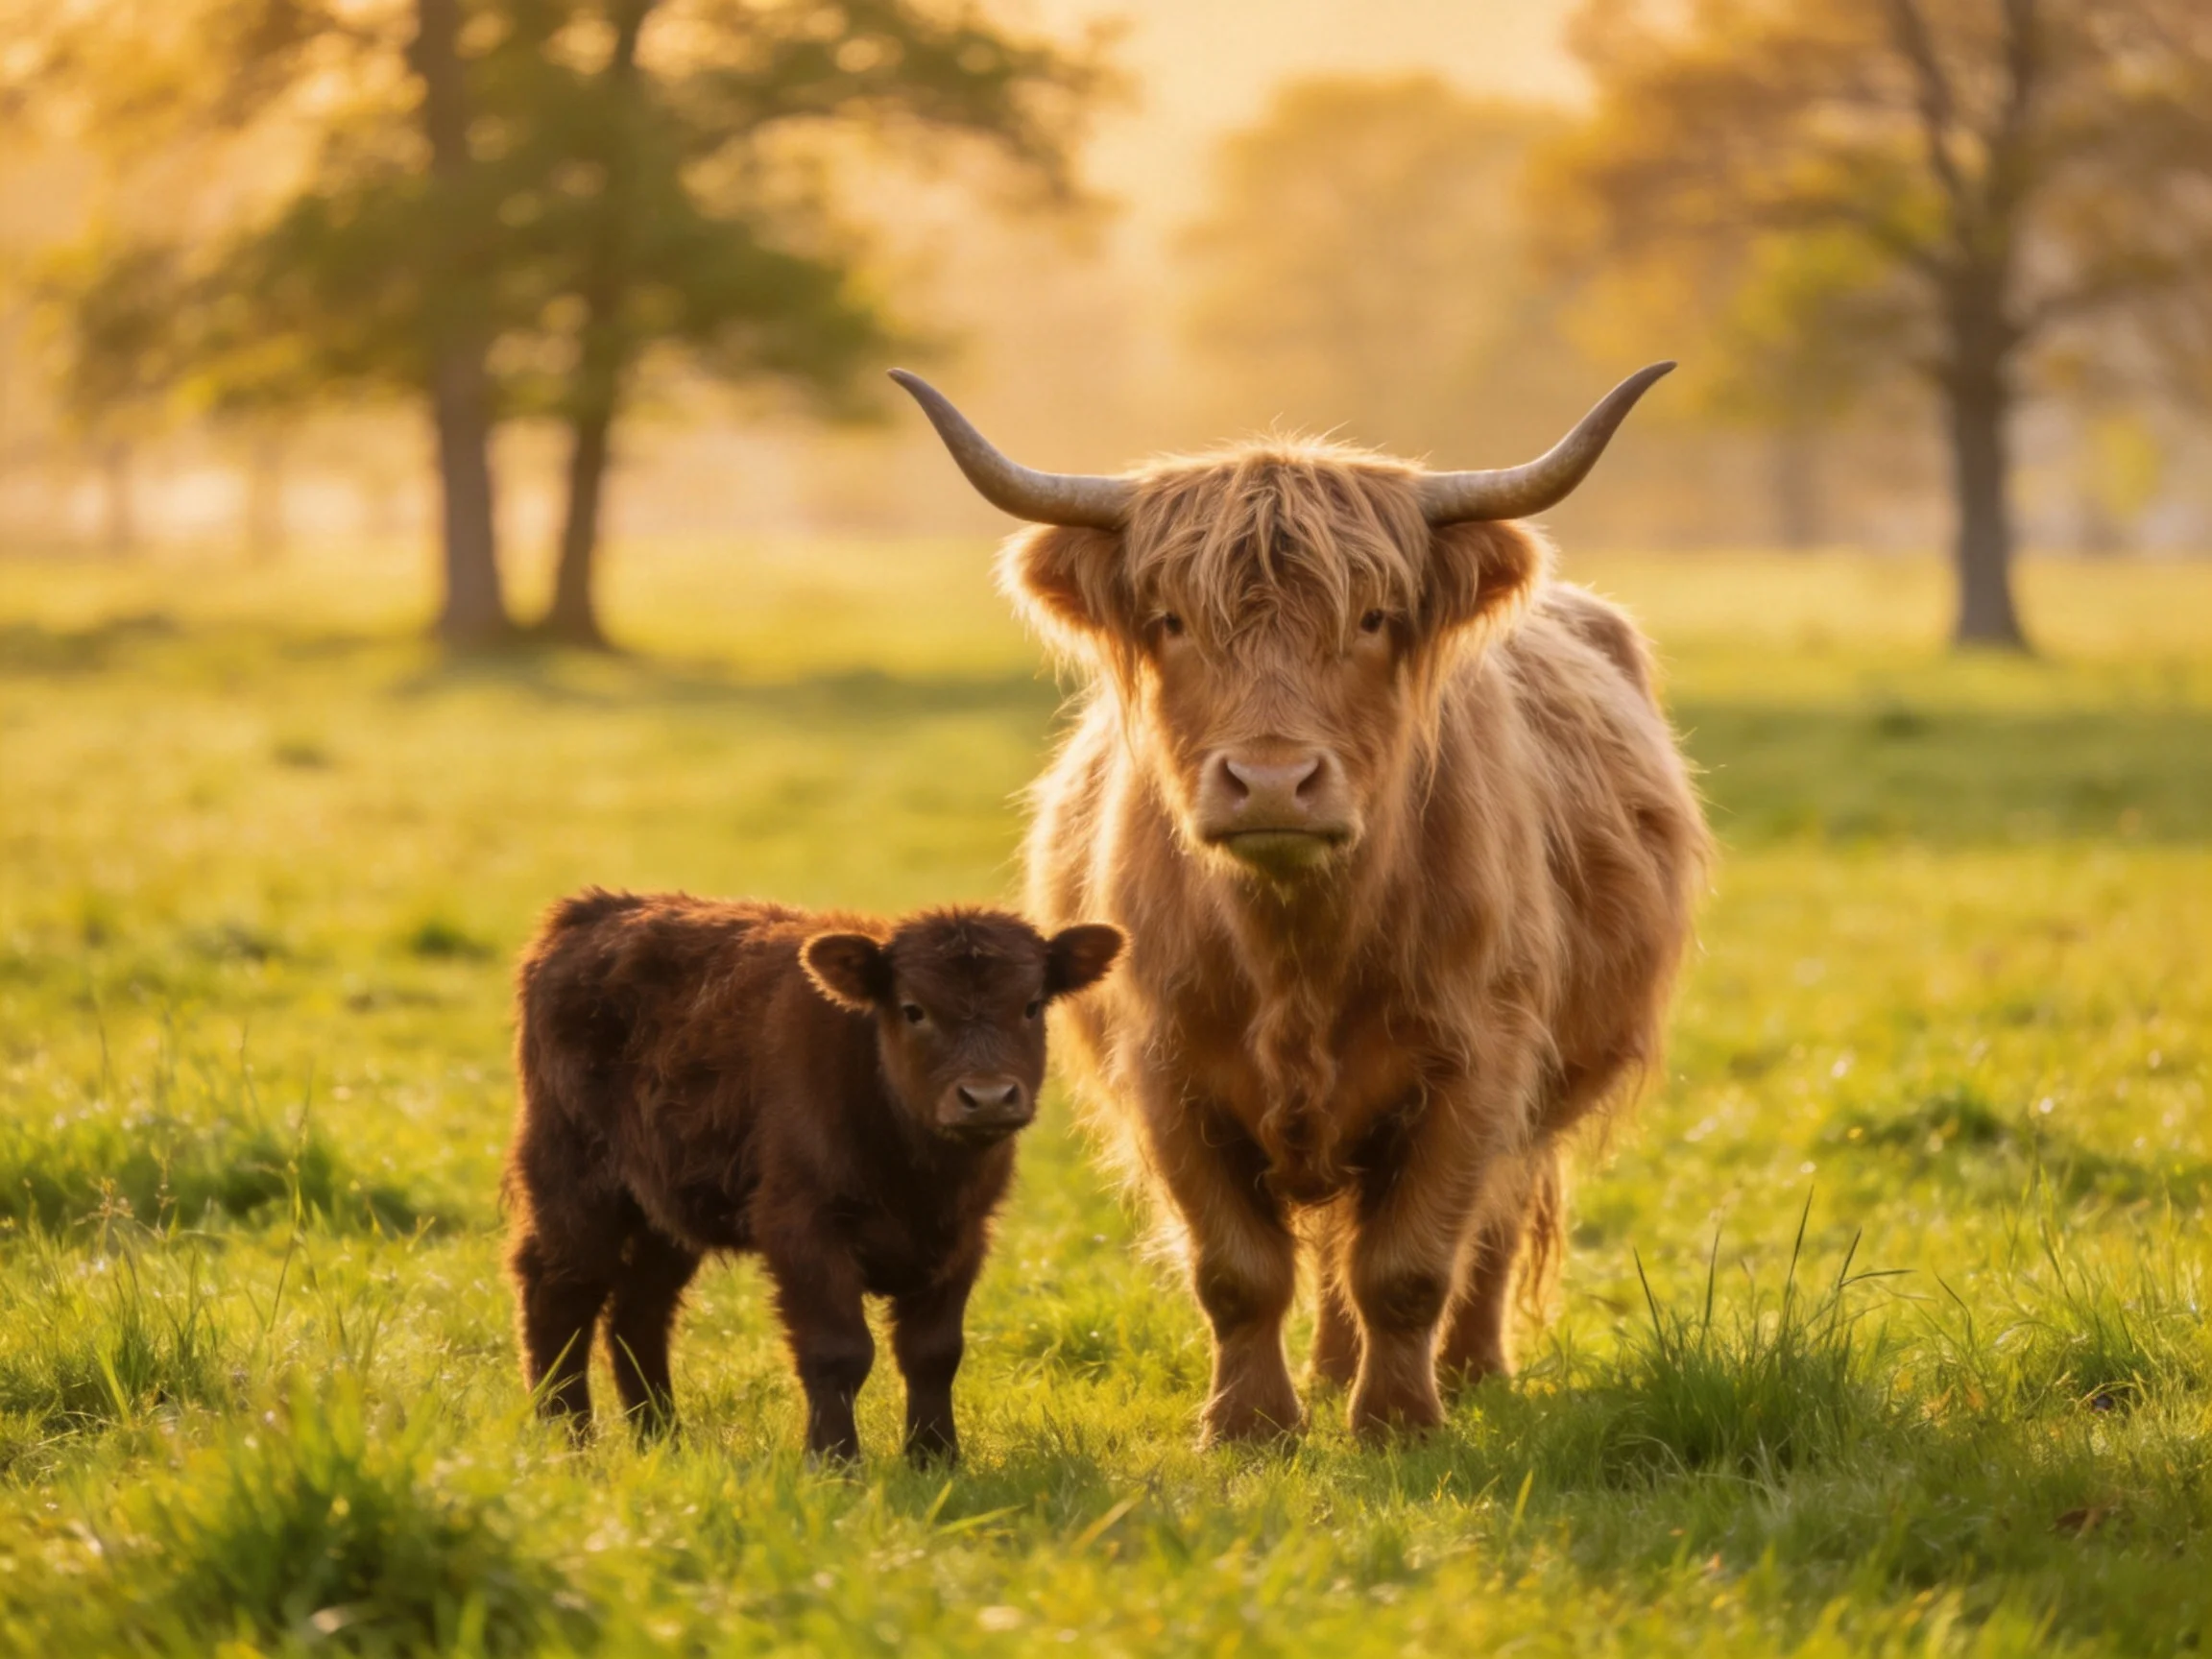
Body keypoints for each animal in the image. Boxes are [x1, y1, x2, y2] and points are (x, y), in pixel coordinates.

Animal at [505, 889, 1123, 1462]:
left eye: (1032, 1005)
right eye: (913, 1009)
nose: (988, 1097)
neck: (917, 1176)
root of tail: (595, 912)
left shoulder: (964, 1235)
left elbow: (934, 1351)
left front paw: (935, 1458)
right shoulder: (802, 1226)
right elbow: (838, 1350)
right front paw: (834, 1461)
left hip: (665, 1210)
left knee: (639, 1313)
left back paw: (662, 1440)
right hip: (574, 1186)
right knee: (559, 1295)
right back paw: (567, 1439)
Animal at [892, 365, 1709, 1443]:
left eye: (1373, 618)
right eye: (1172, 622)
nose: (1273, 781)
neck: (1295, 953)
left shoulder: (1479, 1064)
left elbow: (1410, 1265)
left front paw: (1400, 1424)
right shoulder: (1166, 1070)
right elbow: (1237, 1271)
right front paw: (1251, 1426)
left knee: (1483, 1228)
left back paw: (1472, 1372)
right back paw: (1327, 1373)